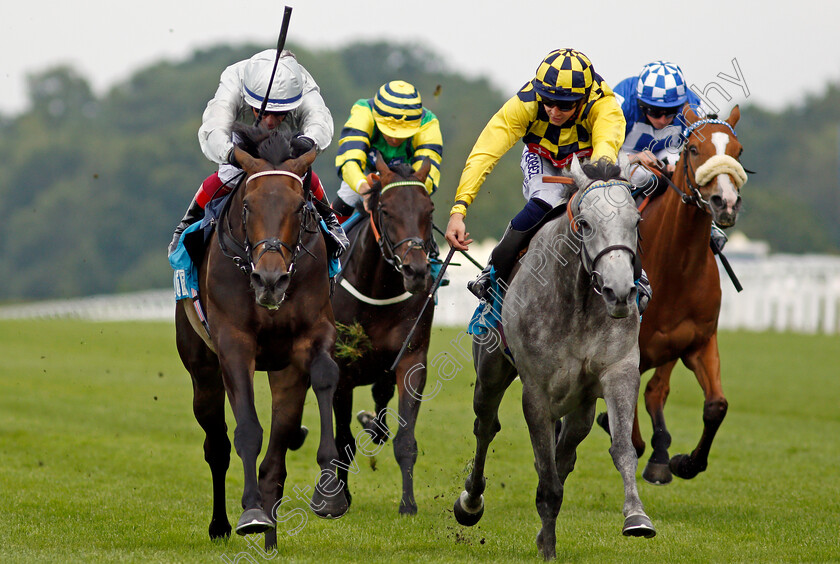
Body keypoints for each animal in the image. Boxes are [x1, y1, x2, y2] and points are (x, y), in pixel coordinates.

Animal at [174, 129, 348, 548]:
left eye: (300, 206)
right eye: (248, 206)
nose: (270, 280)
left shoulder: (314, 332)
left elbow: (325, 377)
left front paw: (329, 491)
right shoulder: (234, 343)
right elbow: (248, 430)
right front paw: (250, 512)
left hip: (286, 374)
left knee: (276, 456)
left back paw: (271, 536)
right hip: (202, 373)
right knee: (217, 446)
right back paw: (222, 525)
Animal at [330, 155, 434, 516]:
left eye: (429, 209)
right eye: (386, 210)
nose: (416, 271)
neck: (379, 288)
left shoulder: (411, 359)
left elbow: (405, 440)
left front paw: (408, 504)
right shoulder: (341, 368)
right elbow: (342, 441)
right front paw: (339, 500)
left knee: (380, 398)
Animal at [452, 155, 656, 560]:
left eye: (636, 222)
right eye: (587, 223)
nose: (620, 292)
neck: (576, 300)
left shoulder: (619, 372)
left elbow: (622, 450)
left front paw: (636, 517)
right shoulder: (537, 394)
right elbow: (547, 477)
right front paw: (548, 547)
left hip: (581, 406)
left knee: (566, 452)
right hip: (490, 374)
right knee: (486, 426)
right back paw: (470, 502)